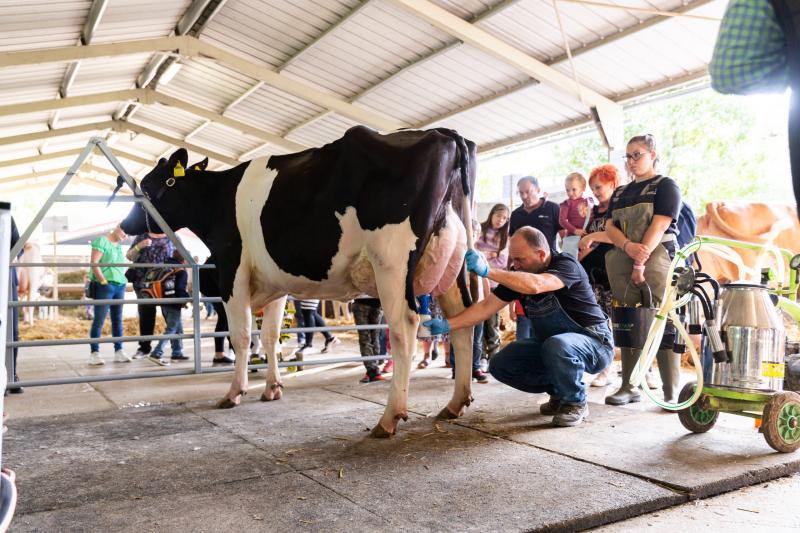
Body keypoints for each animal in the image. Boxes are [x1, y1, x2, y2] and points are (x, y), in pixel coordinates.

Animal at [122, 125, 478, 436]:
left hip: (392, 259)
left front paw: (234, 393)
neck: (219, 198)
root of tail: (443, 132)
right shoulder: (275, 285)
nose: (125, 225)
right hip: (453, 260)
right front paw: (272, 388)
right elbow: (269, 337)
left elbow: (241, 337)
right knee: (463, 318)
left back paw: (390, 417)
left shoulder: (232, 273)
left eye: (147, 184)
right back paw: (456, 403)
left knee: (405, 325)